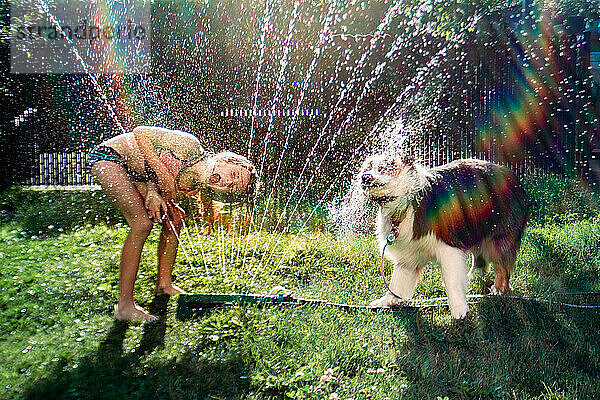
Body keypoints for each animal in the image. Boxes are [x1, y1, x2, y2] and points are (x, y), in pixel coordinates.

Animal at [358, 154, 528, 318]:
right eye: (367, 167)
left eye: (385, 167)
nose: (365, 177)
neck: (405, 203)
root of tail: (511, 175)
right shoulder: (408, 253)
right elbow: (397, 282)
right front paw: (387, 301)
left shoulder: (448, 247)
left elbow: (452, 281)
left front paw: (459, 310)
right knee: (480, 257)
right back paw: (473, 276)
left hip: (498, 235)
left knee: (502, 267)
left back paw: (498, 289)